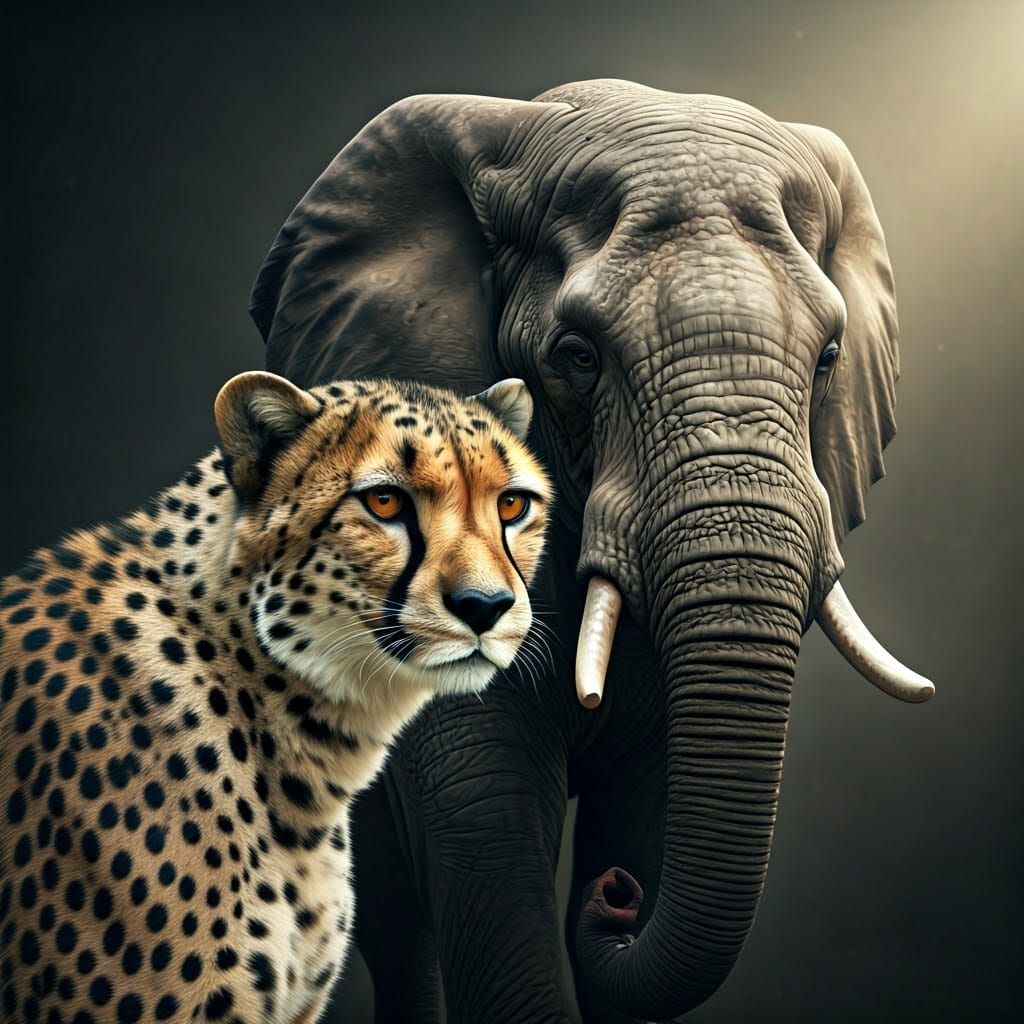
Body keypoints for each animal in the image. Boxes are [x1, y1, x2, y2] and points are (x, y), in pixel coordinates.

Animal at [249, 79, 933, 1023]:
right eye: (577, 357)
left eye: (831, 357)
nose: (618, 900)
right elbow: (483, 814)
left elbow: (650, 803)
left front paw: (621, 880)